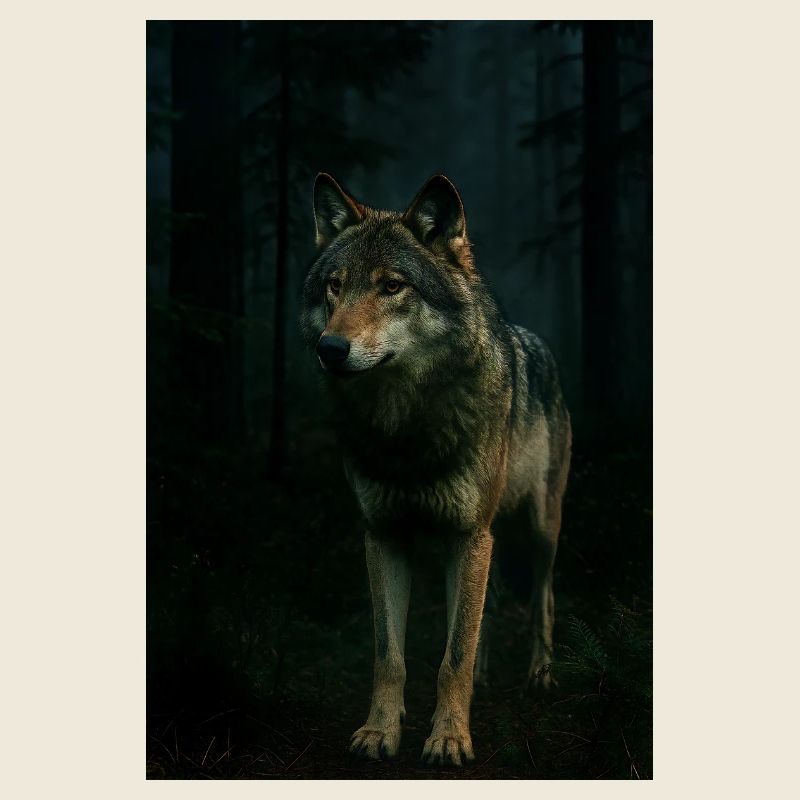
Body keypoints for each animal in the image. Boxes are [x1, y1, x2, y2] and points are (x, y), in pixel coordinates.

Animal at [300, 173, 571, 767]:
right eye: (335, 286)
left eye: (392, 286)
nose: (330, 348)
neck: (406, 429)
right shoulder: (384, 535)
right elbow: (391, 654)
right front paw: (379, 732)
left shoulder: (470, 534)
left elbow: (454, 656)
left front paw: (448, 738)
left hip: (539, 530)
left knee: (542, 597)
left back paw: (542, 674)